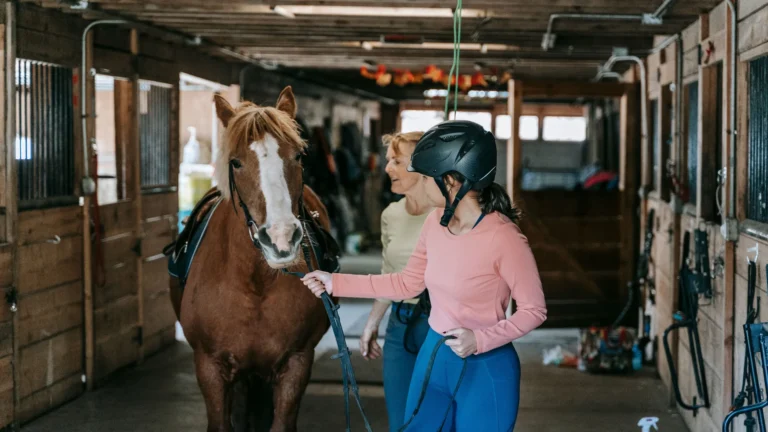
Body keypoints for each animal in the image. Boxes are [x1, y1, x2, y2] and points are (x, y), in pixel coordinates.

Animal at [169, 87, 332, 432]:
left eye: (298, 156)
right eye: (236, 162)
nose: (282, 239)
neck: (255, 283)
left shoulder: (297, 363)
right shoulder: (210, 367)